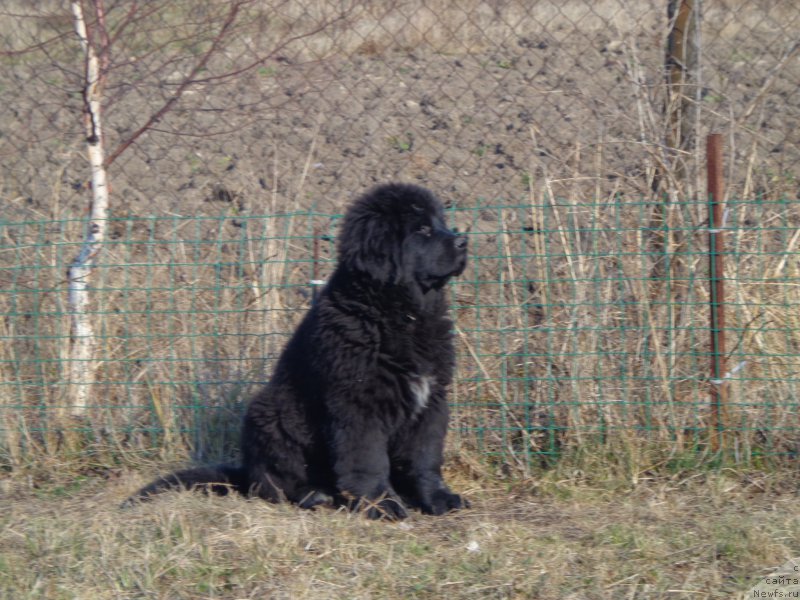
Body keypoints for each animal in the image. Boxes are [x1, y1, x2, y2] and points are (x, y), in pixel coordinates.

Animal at [126, 183, 468, 520]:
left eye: (441, 223)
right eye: (422, 229)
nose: (464, 241)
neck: (401, 313)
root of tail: (245, 472)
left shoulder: (432, 399)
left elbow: (425, 458)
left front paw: (437, 499)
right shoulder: (359, 405)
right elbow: (368, 461)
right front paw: (382, 505)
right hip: (268, 416)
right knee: (271, 485)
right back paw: (313, 495)